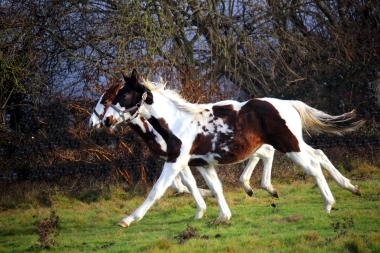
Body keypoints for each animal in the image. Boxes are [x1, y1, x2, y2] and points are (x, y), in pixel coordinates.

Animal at [102, 70, 364, 228]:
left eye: (124, 94)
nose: (106, 120)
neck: (177, 122)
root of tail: (288, 103)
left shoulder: (176, 161)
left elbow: (156, 191)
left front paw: (128, 219)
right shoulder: (203, 164)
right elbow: (215, 188)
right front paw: (223, 216)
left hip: (289, 145)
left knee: (313, 167)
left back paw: (328, 204)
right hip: (295, 143)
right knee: (319, 156)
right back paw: (351, 187)